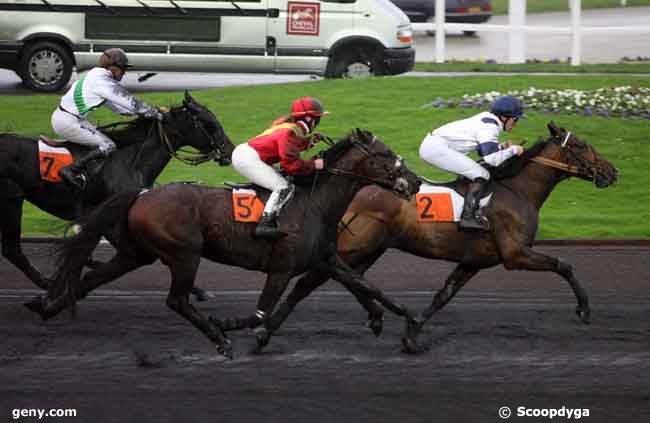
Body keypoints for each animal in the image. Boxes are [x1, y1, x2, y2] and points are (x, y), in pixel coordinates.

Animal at [0, 92, 233, 292]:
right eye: (210, 124)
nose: (229, 151)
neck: (131, 162)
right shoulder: (111, 217)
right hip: (11, 199)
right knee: (13, 250)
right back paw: (47, 283)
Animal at [26, 129, 420, 358]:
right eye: (386, 155)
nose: (415, 181)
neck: (314, 202)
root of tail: (141, 193)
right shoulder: (281, 267)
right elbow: (260, 313)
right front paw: (231, 326)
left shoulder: (326, 258)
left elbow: (365, 284)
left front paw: (405, 320)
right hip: (184, 254)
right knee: (176, 300)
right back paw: (218, 337)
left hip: (136, 254)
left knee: (91, 280)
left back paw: (46, 306)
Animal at [260, 123, 616, 354]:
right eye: (581, 145)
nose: (612, 173)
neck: (516, 190)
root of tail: (357, 189)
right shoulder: (516, 254)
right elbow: (564, 265)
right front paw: (584, 310)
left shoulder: (474, 261)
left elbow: (443, 295)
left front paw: (412, 332)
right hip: (355, 246)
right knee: (313, 281)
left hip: (369, 249)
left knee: (346, 279)